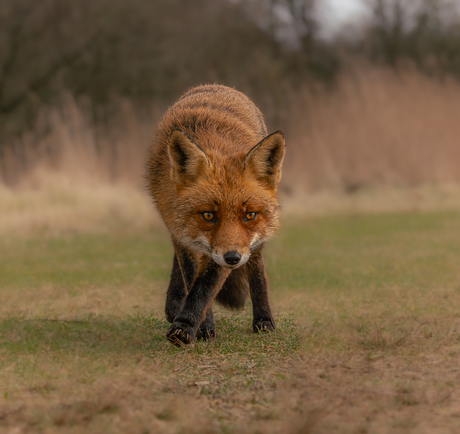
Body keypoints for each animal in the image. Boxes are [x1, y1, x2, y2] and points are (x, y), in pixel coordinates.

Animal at [147, 83, 284, 344]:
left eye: (249, 215)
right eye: (209, 215)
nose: (233, 258)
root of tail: (217, 86)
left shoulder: (228, 248)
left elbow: (205, 285)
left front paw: (186, 326)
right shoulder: (184, 234)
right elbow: (192, 278)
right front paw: (199, 326)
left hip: (253, 245)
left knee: (257, 271)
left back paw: (263, 320)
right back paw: (174, 304)